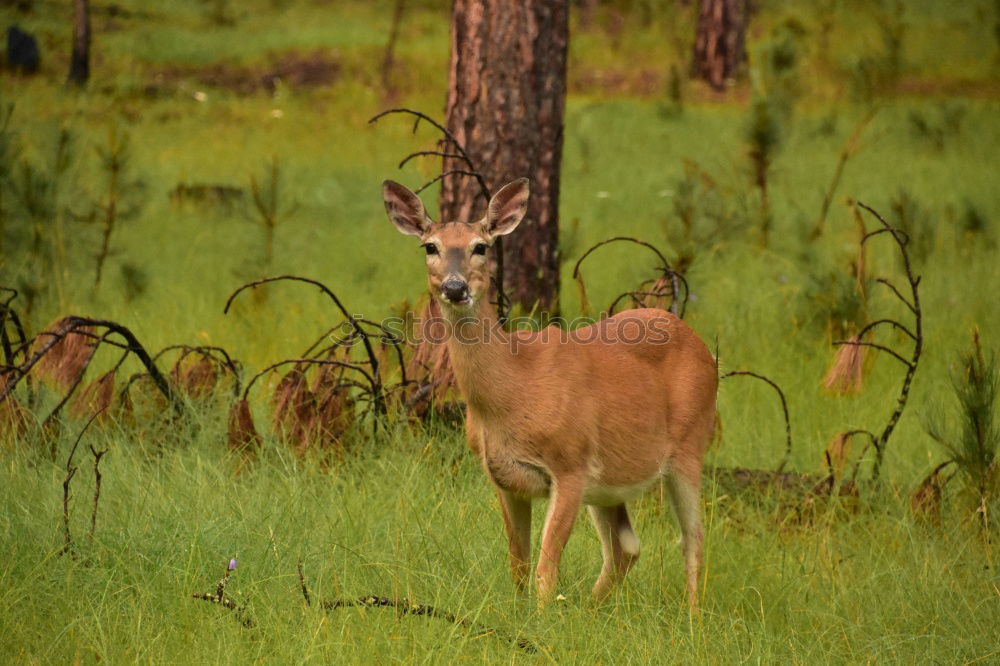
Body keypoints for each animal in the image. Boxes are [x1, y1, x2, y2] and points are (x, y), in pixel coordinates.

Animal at [382, 175, 720, 608]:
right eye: (430, 246)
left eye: (481, 246)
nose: (455, 288)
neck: (513, 390)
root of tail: (699, 343)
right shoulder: (502, 477)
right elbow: (518, 563)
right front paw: (521, 613)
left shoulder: (570, 463)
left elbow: (546, 567)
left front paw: (541, 620)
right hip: (609, 481)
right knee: (626, 547)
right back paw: (593, 610)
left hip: (689, 445)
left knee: (692, 538)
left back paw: (692, 616)